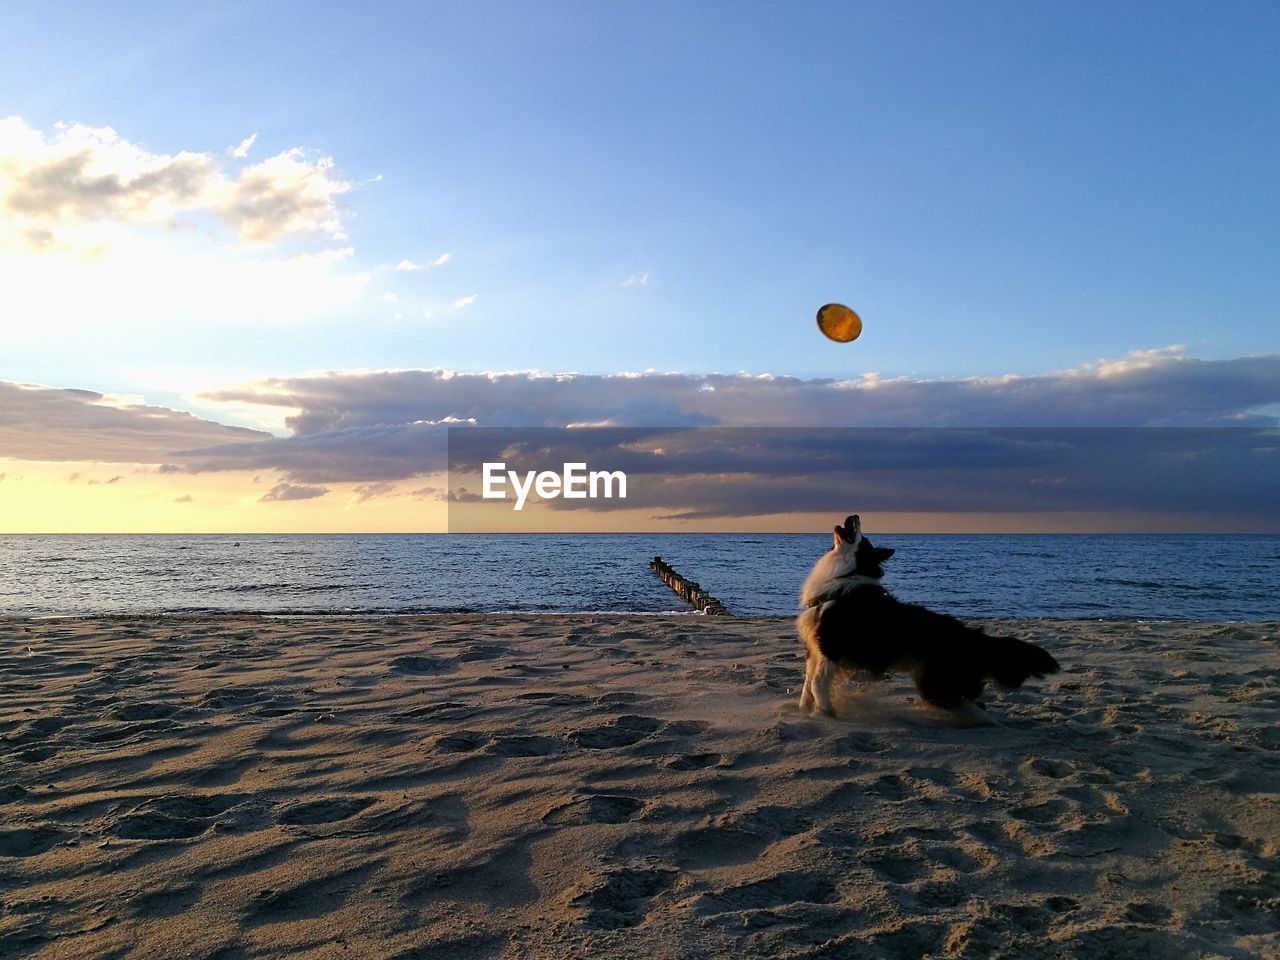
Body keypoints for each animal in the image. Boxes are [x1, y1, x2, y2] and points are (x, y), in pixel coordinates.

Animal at [798, 519, 1059, 716]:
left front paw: (824, 711)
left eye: (864, 539)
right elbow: (807, 681)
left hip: (936, 681)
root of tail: (971, 635)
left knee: (966, 696)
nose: (854, 515)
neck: (845, 576)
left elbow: (817, 681)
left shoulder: (830, 647)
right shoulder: (814, 648)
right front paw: (805, 707)